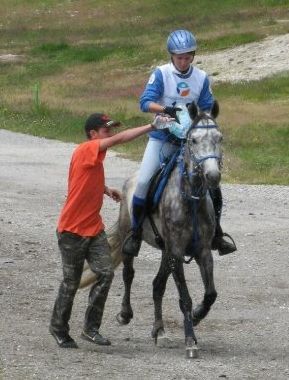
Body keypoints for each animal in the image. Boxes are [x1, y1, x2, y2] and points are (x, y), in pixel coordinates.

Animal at [80, 100, 223, 356]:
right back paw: (125, 314)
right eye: (194, 140)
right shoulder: (176, 252)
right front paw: (190, 341)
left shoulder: (203, 252)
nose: (212, 175)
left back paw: (160, 331)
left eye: (219, 138)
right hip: (130, 236)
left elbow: (210, 294)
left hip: (165, 251)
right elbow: (184, 298)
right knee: (128, 273)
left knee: (158, 286)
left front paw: (197, 315)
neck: (190, 199)